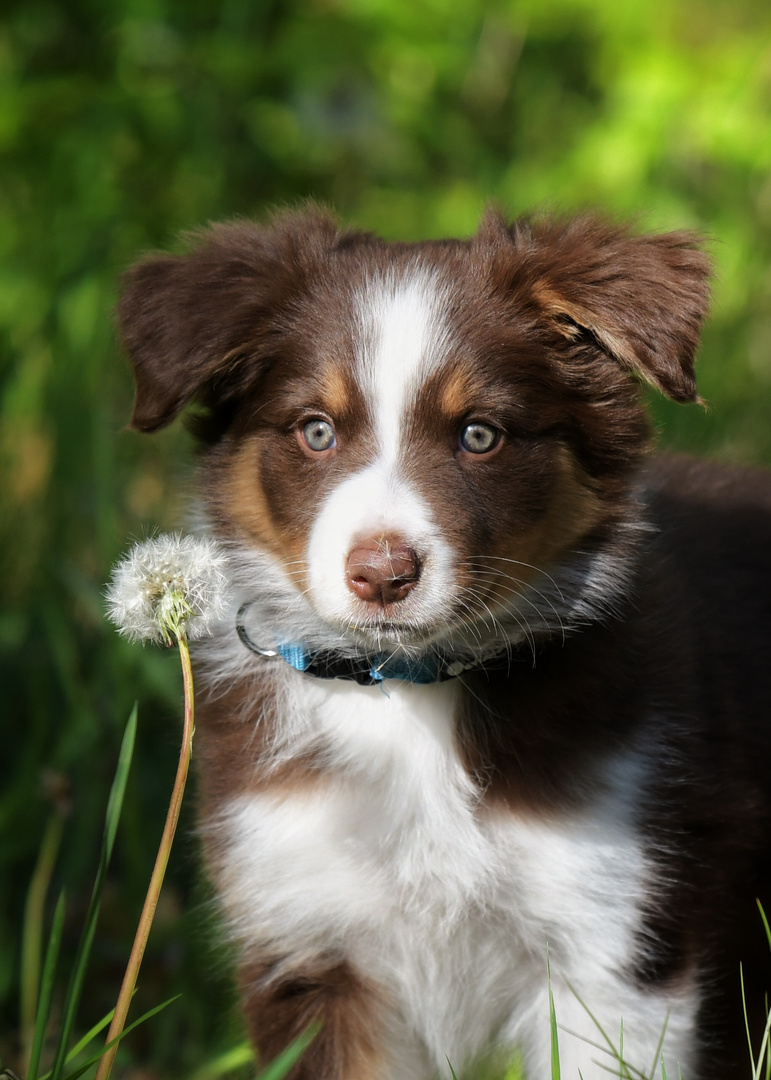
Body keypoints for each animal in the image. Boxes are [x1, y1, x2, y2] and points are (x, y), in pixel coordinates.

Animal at [117, 206, 768, 1075]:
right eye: (315, 431)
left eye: (480, 435)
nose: (382, 573)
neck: (408, 692)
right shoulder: (311, 942)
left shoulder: (615, 952)